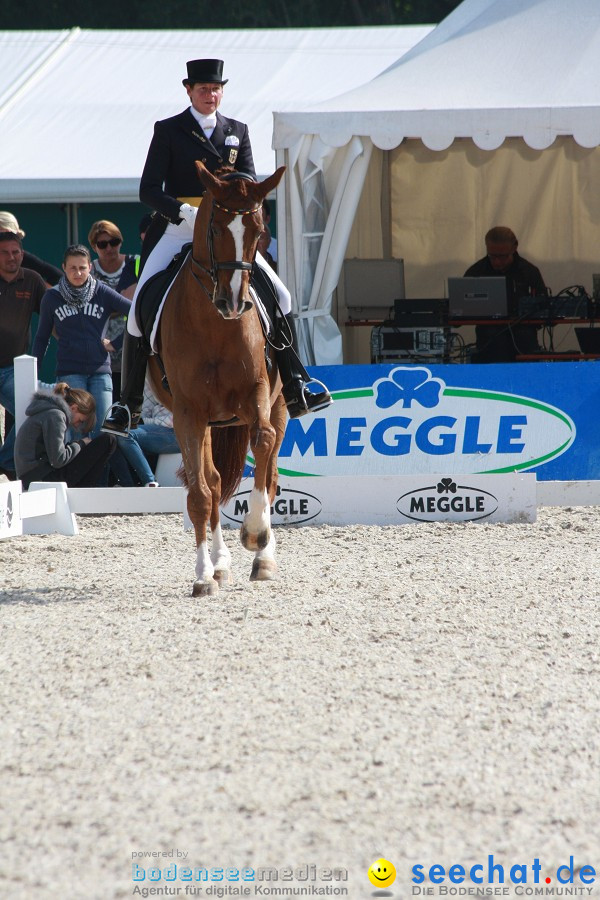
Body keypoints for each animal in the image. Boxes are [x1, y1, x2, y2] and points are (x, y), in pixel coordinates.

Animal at [150, 162, 290, 596]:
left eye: (259, 231)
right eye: (213, 229)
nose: (233, 303)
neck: (215, 325)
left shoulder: (257, 393)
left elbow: (263, 443)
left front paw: (255, 534)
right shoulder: (188, 413)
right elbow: (200, 494)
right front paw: (202, 576)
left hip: (279, 405)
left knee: (271, 471)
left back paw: (264, 560)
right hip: (206, 422)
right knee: (211, 483)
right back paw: (219, 564)